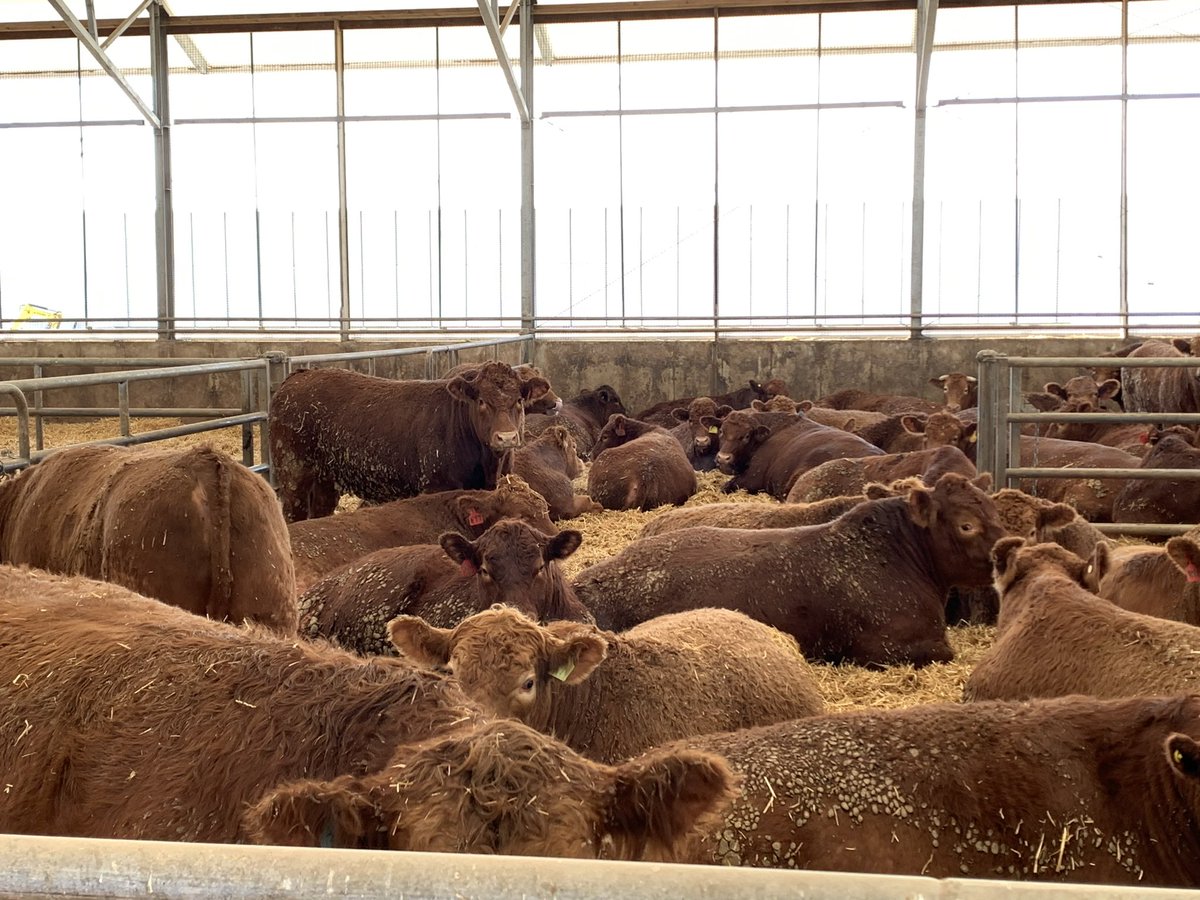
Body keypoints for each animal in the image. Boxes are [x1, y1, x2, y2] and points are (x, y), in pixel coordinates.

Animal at [269, 362, 548, 521]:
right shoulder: (436, 488)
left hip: (326, 479)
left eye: (519, 401)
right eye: (481, 401)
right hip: (294, 473)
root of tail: (298, 376)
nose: (506, 437)